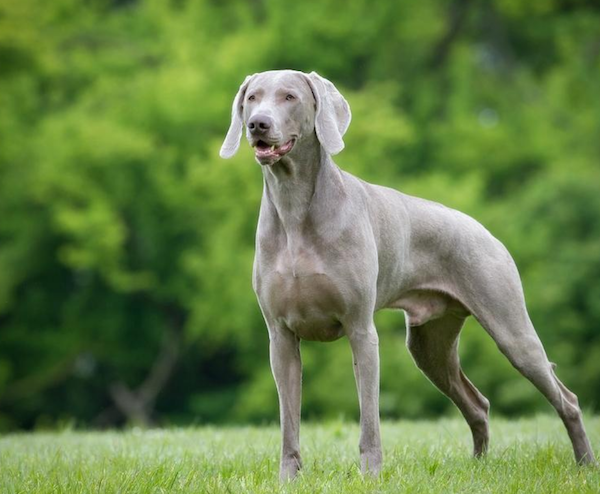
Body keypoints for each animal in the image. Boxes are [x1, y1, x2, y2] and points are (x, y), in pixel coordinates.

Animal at [220, 68, 596, 478]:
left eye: (289, 97)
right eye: (252, 98)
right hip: (429, 344)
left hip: (511, 329)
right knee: (477, 403)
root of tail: (484, 230)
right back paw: (478, 467)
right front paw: (288, 478)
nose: (258, 124)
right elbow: (289, 420)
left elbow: (369, 416)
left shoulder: (360, 329)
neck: (294, 208)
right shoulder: (280, 336)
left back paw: (585, 463)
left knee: (567, 398)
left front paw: (370, 475)